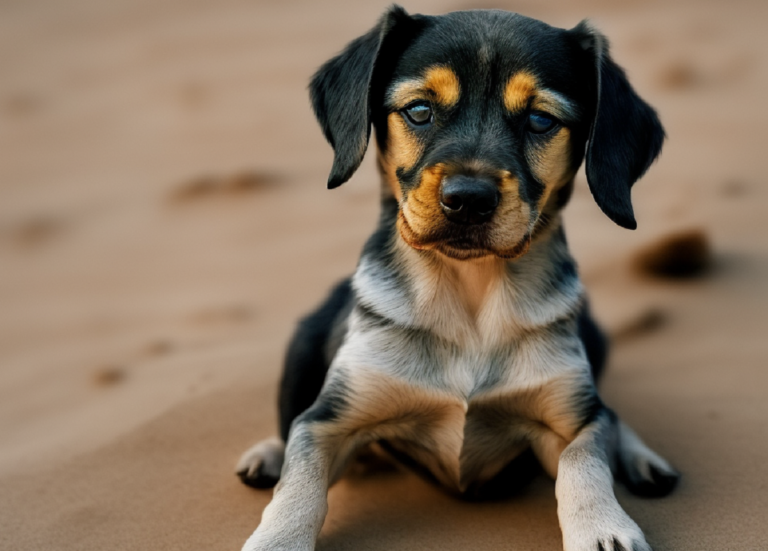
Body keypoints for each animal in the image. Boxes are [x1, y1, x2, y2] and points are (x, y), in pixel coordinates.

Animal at [238, 5, 680, 551]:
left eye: (540, 120)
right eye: (419, 111)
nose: (468, 199)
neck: (471, 294)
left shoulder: (571, 415)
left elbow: (587, 458)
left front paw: (602, 527)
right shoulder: (331, 418)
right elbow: (300, 481)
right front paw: (278, 536)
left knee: (611, 412)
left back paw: (642, 458)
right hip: (303, 343)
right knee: (287, 423)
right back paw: (265, 453)